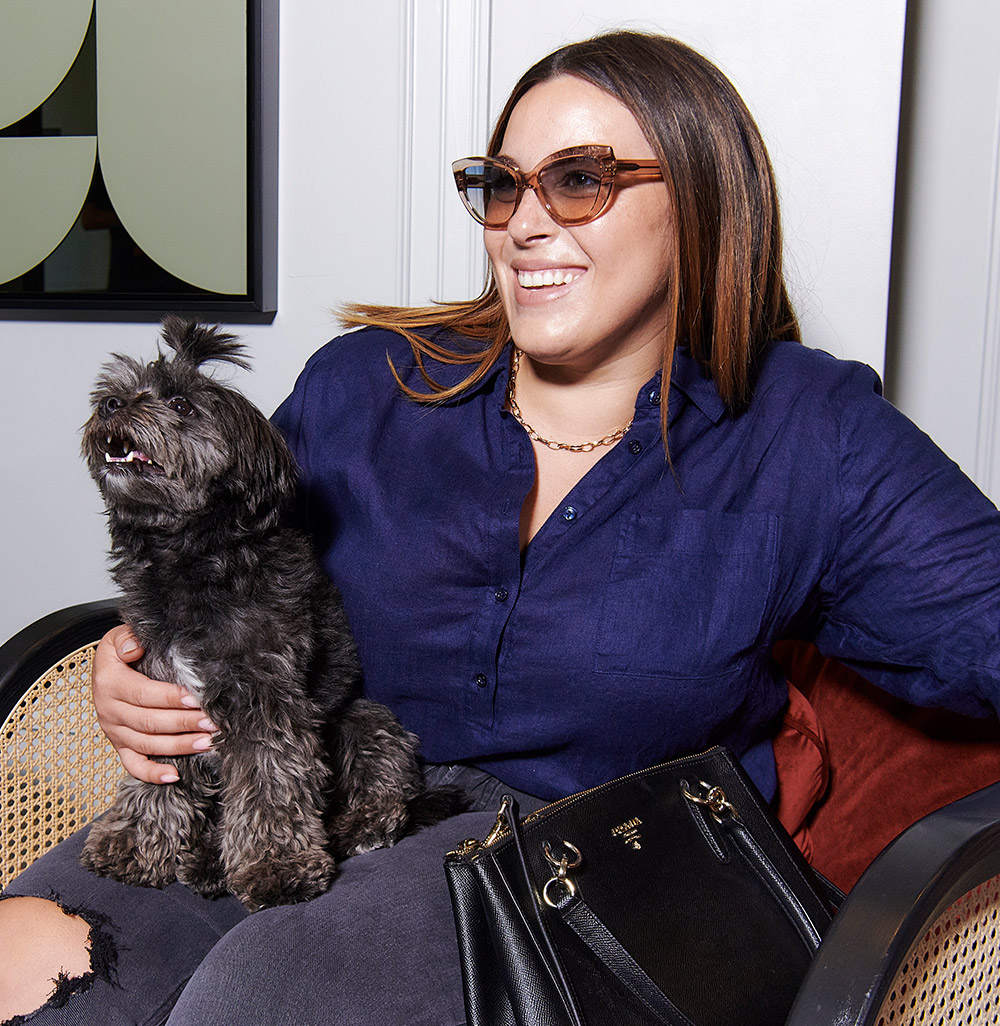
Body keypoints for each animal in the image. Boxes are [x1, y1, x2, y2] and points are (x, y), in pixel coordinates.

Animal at [79, 317, 460, 910]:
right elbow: (156, 776)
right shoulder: (160, 694)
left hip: (361, 717)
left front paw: (277, 867)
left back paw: (356, 827)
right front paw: (136, 844)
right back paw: (208, 862)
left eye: (182, 404)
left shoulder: (265, 699)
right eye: (121, 390)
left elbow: (269, 784)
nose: (111, 404)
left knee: (382, 785)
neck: (191, 561)